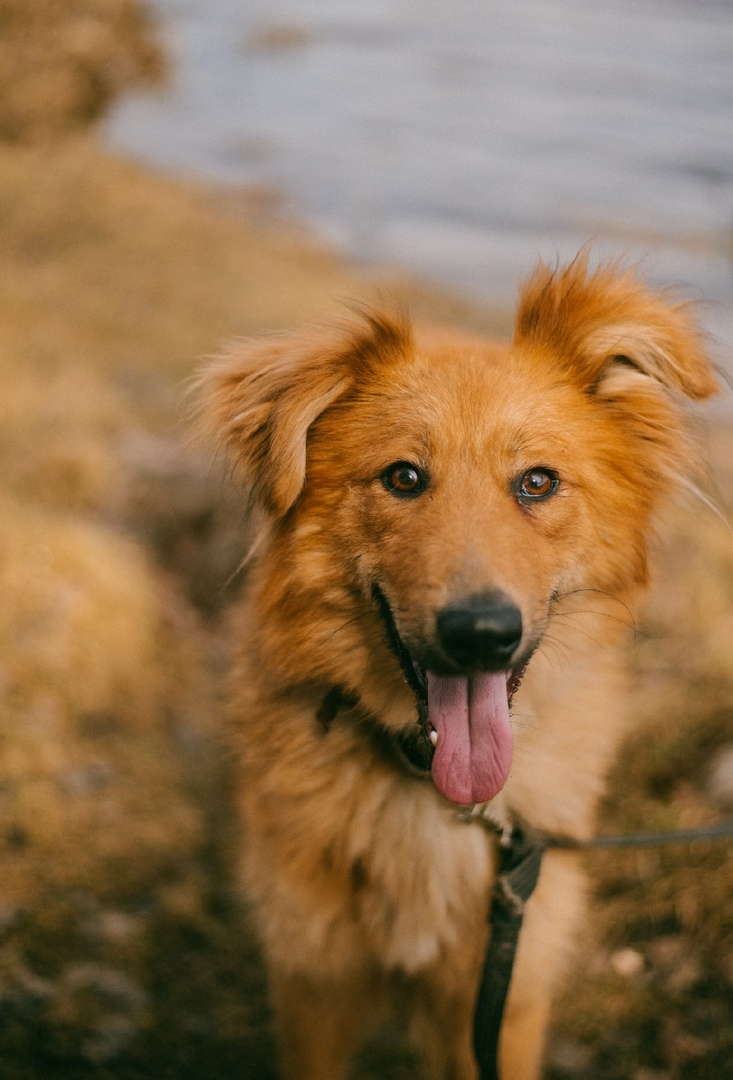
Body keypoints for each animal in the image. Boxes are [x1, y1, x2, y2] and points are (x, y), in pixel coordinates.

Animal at [196, 254, 716, 1080]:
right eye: (403, 478)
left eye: (536, 482)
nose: (480, 635)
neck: (433, 794)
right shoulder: (313, 984)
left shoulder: (504, 991)